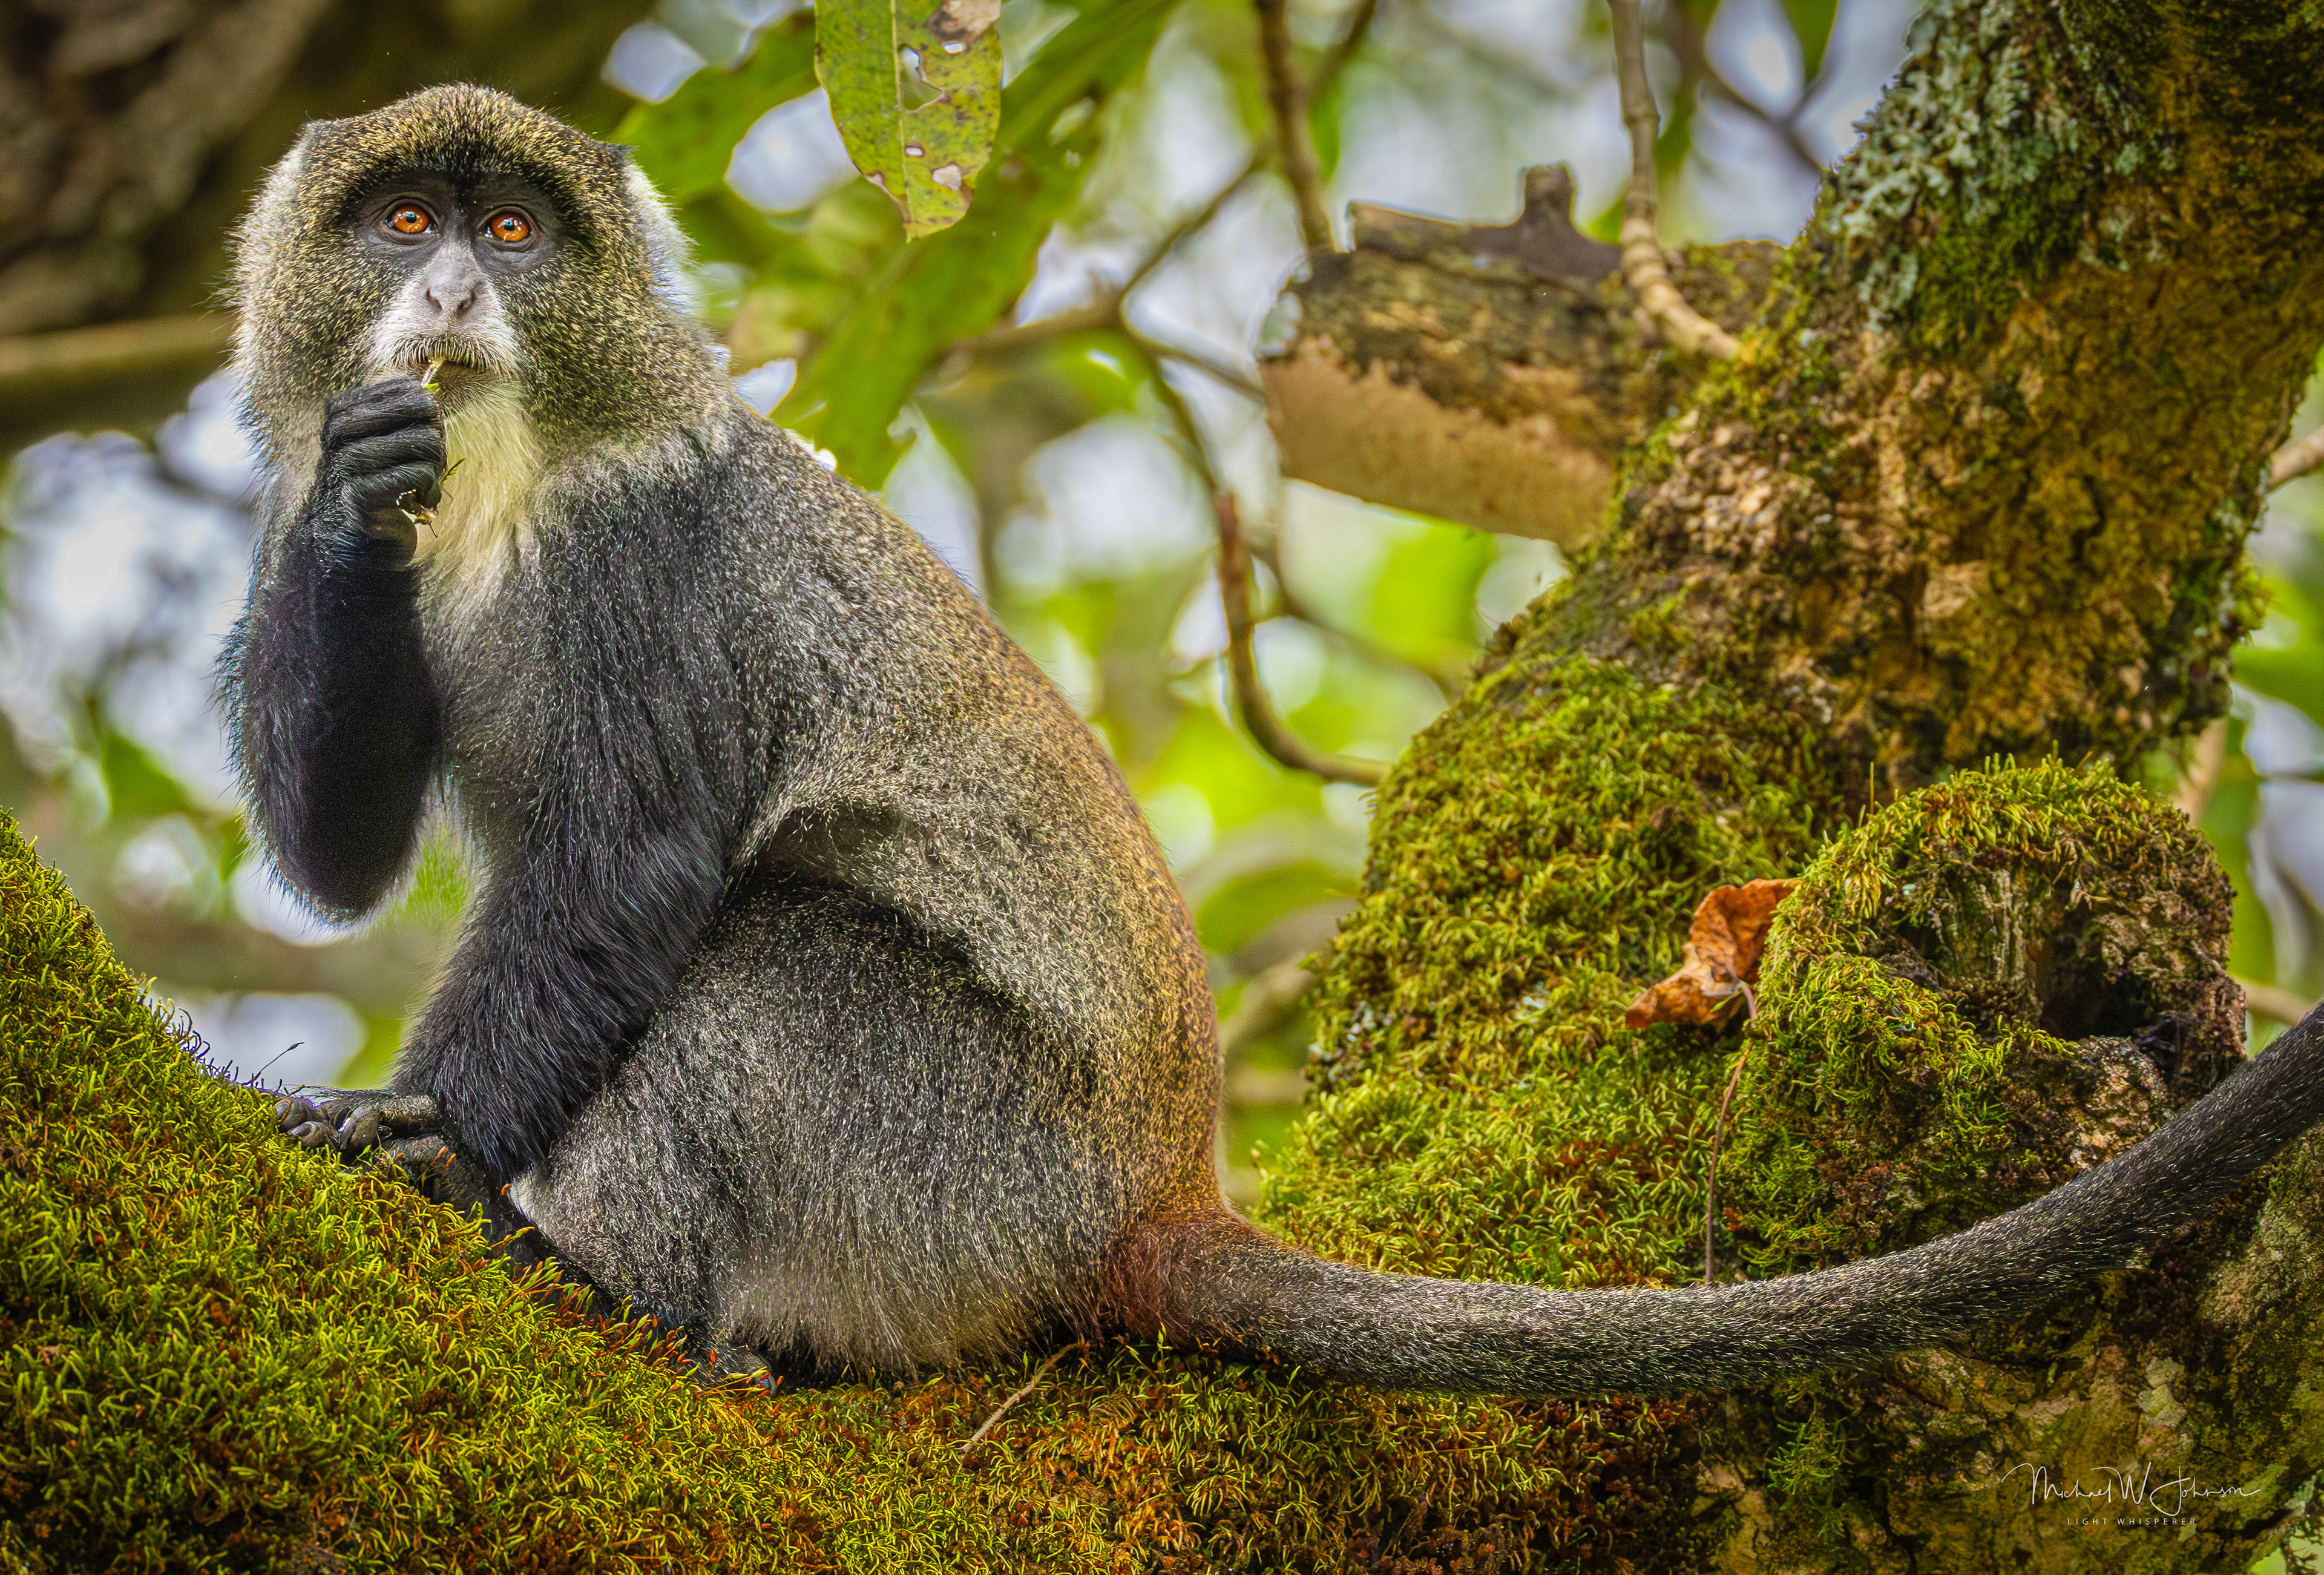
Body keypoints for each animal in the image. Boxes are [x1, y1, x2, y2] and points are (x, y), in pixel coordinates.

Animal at [223, 85, 2324, 1395]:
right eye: (401, 220)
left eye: (515, 228)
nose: (449, 292)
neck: (515, 482)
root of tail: (1161, 1195)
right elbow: (339, 858)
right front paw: (351, 492)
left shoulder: (644, 559)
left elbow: (625, 870)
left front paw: (409, 1138)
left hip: (956, 1161)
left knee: (771, 958)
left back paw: (596, 1276)